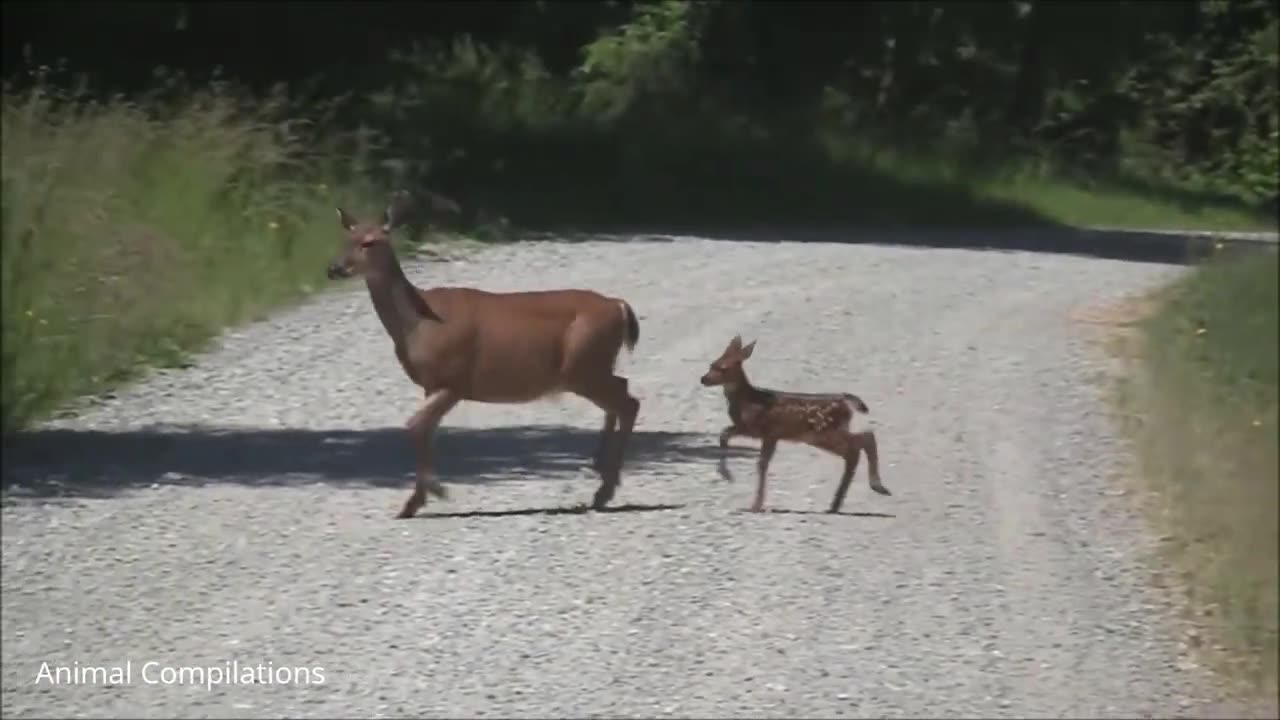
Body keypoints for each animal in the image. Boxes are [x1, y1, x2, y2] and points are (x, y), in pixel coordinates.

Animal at [326, 191, 642, 519]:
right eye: (345, 238)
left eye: (370, 242)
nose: (334, 268)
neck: (416, 325)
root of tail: (618, 305)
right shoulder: (431, 384)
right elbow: (425, 429)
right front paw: (418, 499)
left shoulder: (454, 379)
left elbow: (415, 425)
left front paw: (428, 494)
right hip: (590, 367)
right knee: (621, 391)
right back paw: (600, 471)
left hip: (582, 367)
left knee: (629, 402)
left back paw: (604, 489)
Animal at [700, 335, 890, 514]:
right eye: (712, 364)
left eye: (723, 368)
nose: (703, 379)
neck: (746, 400)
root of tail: (845, 401)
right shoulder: (754, 431)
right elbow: (725, 436)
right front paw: (727, 476)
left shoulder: (764, 431)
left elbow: (760, 463)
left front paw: (755, 504)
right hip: (823, 435)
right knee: (855, 449)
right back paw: (837, 504)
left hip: (824, 432)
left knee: (863, 440)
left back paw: (876, 487)